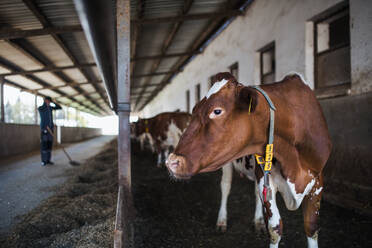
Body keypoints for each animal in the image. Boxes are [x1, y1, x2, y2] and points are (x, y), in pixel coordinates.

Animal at [166, 72, 332, 247]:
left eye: (217, 111)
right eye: (195, 109)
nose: (172, 162)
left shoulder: (317, 181)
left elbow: (311, 227)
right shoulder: (266, 179)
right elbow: (275, 228)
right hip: (229, 166)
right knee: (225, 187)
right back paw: (222, 220)